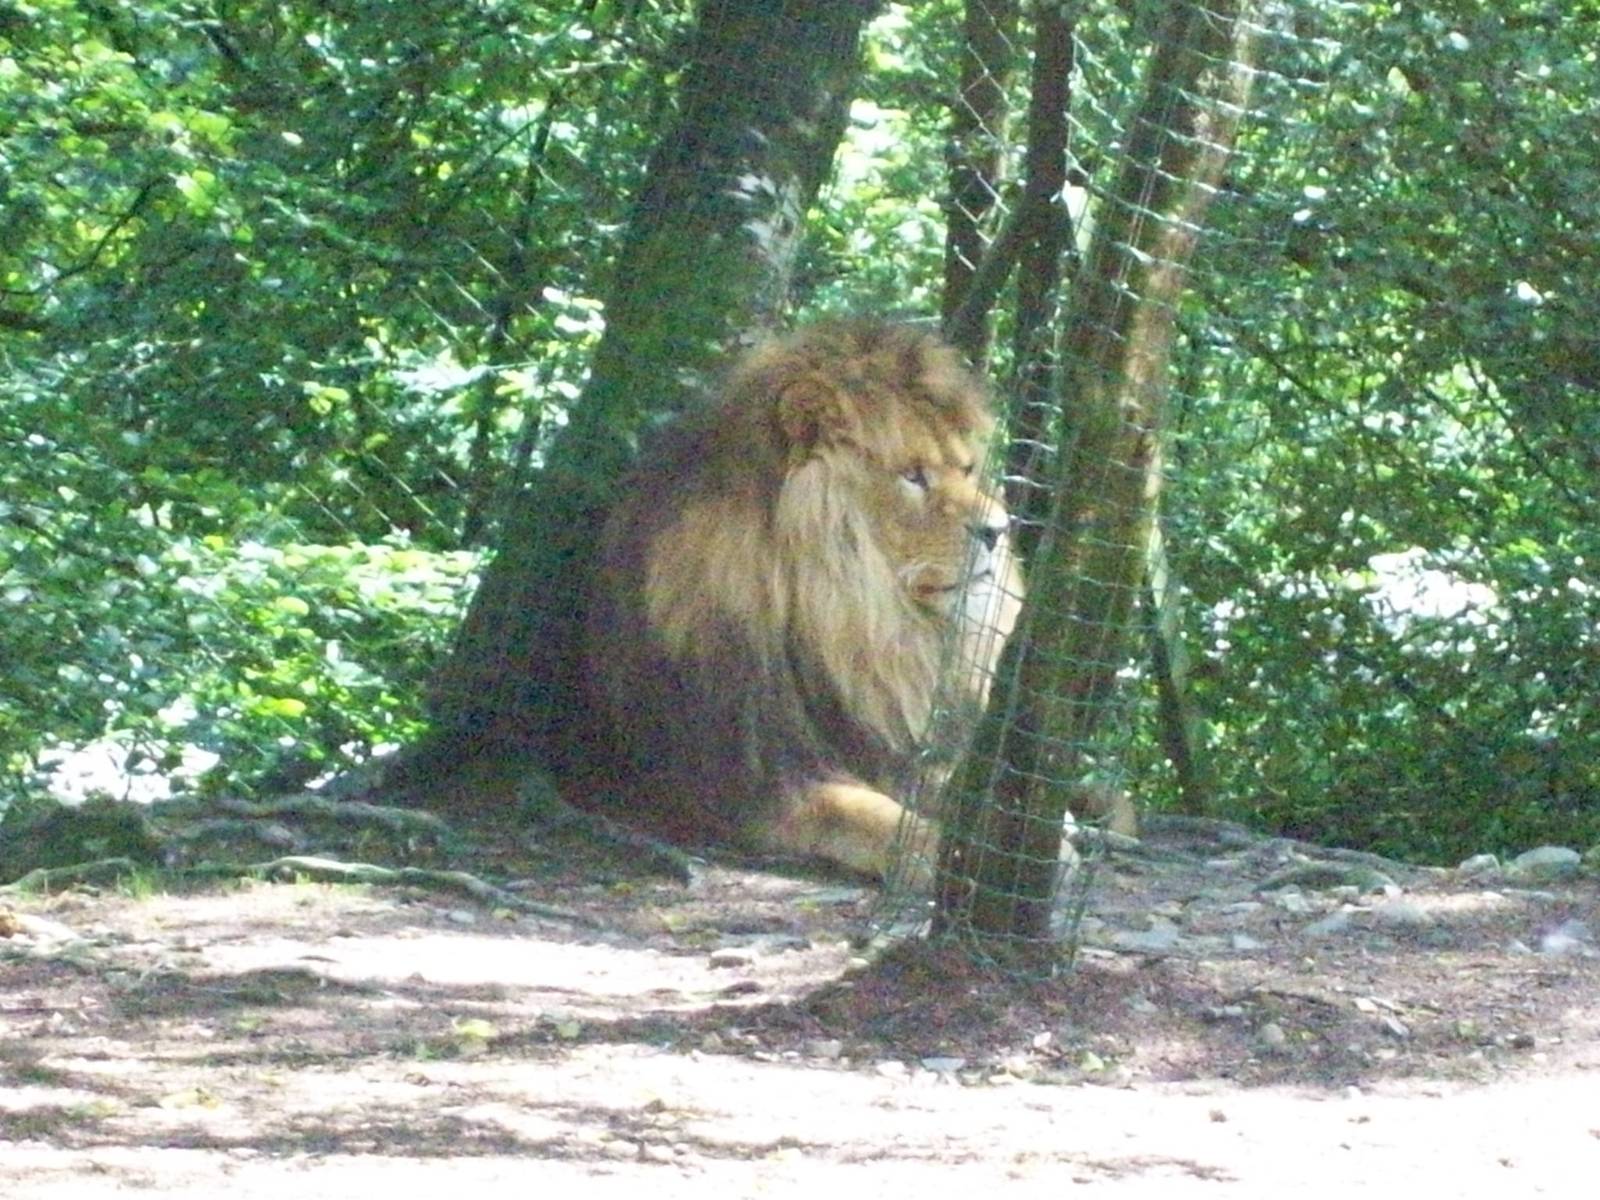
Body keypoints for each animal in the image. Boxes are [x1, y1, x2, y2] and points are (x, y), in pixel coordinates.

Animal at [580, 318, 1023, 887]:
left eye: (967, 469)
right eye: (913, 475)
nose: (999, 530)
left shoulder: (894, 746)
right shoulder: (750, 781)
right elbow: (863, 813)